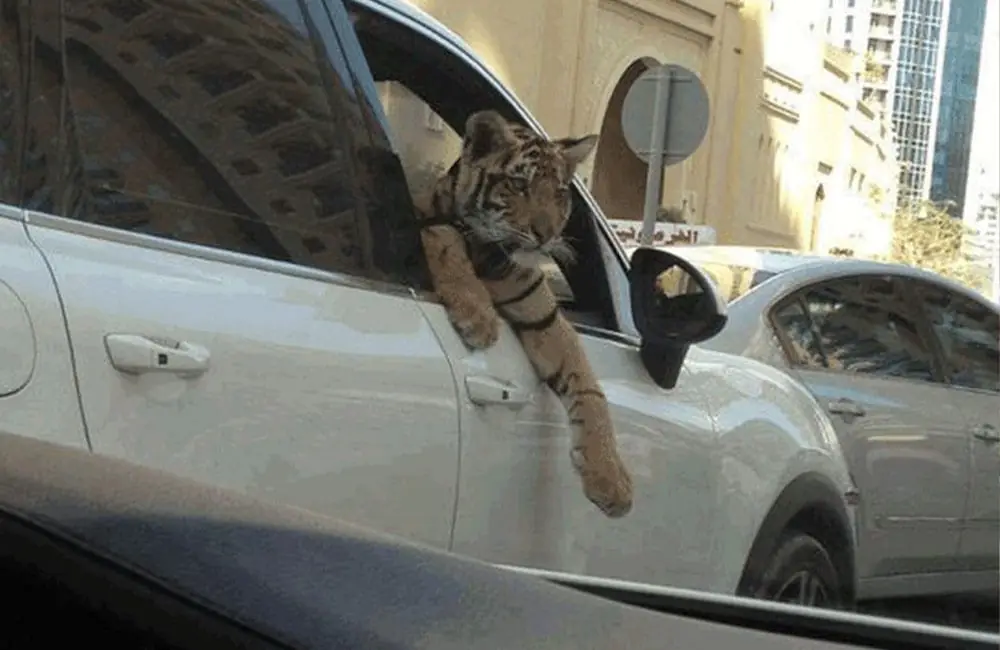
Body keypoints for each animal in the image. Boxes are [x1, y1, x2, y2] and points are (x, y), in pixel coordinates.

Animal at [413, 110, 634, 519]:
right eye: (518, 185)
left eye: (559, 192)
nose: (546, 233)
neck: (491, 256)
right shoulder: (425, 220)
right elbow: (445, 239)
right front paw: (478, 318)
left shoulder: (544, 318)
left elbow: (590, 389)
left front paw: (610, 480)